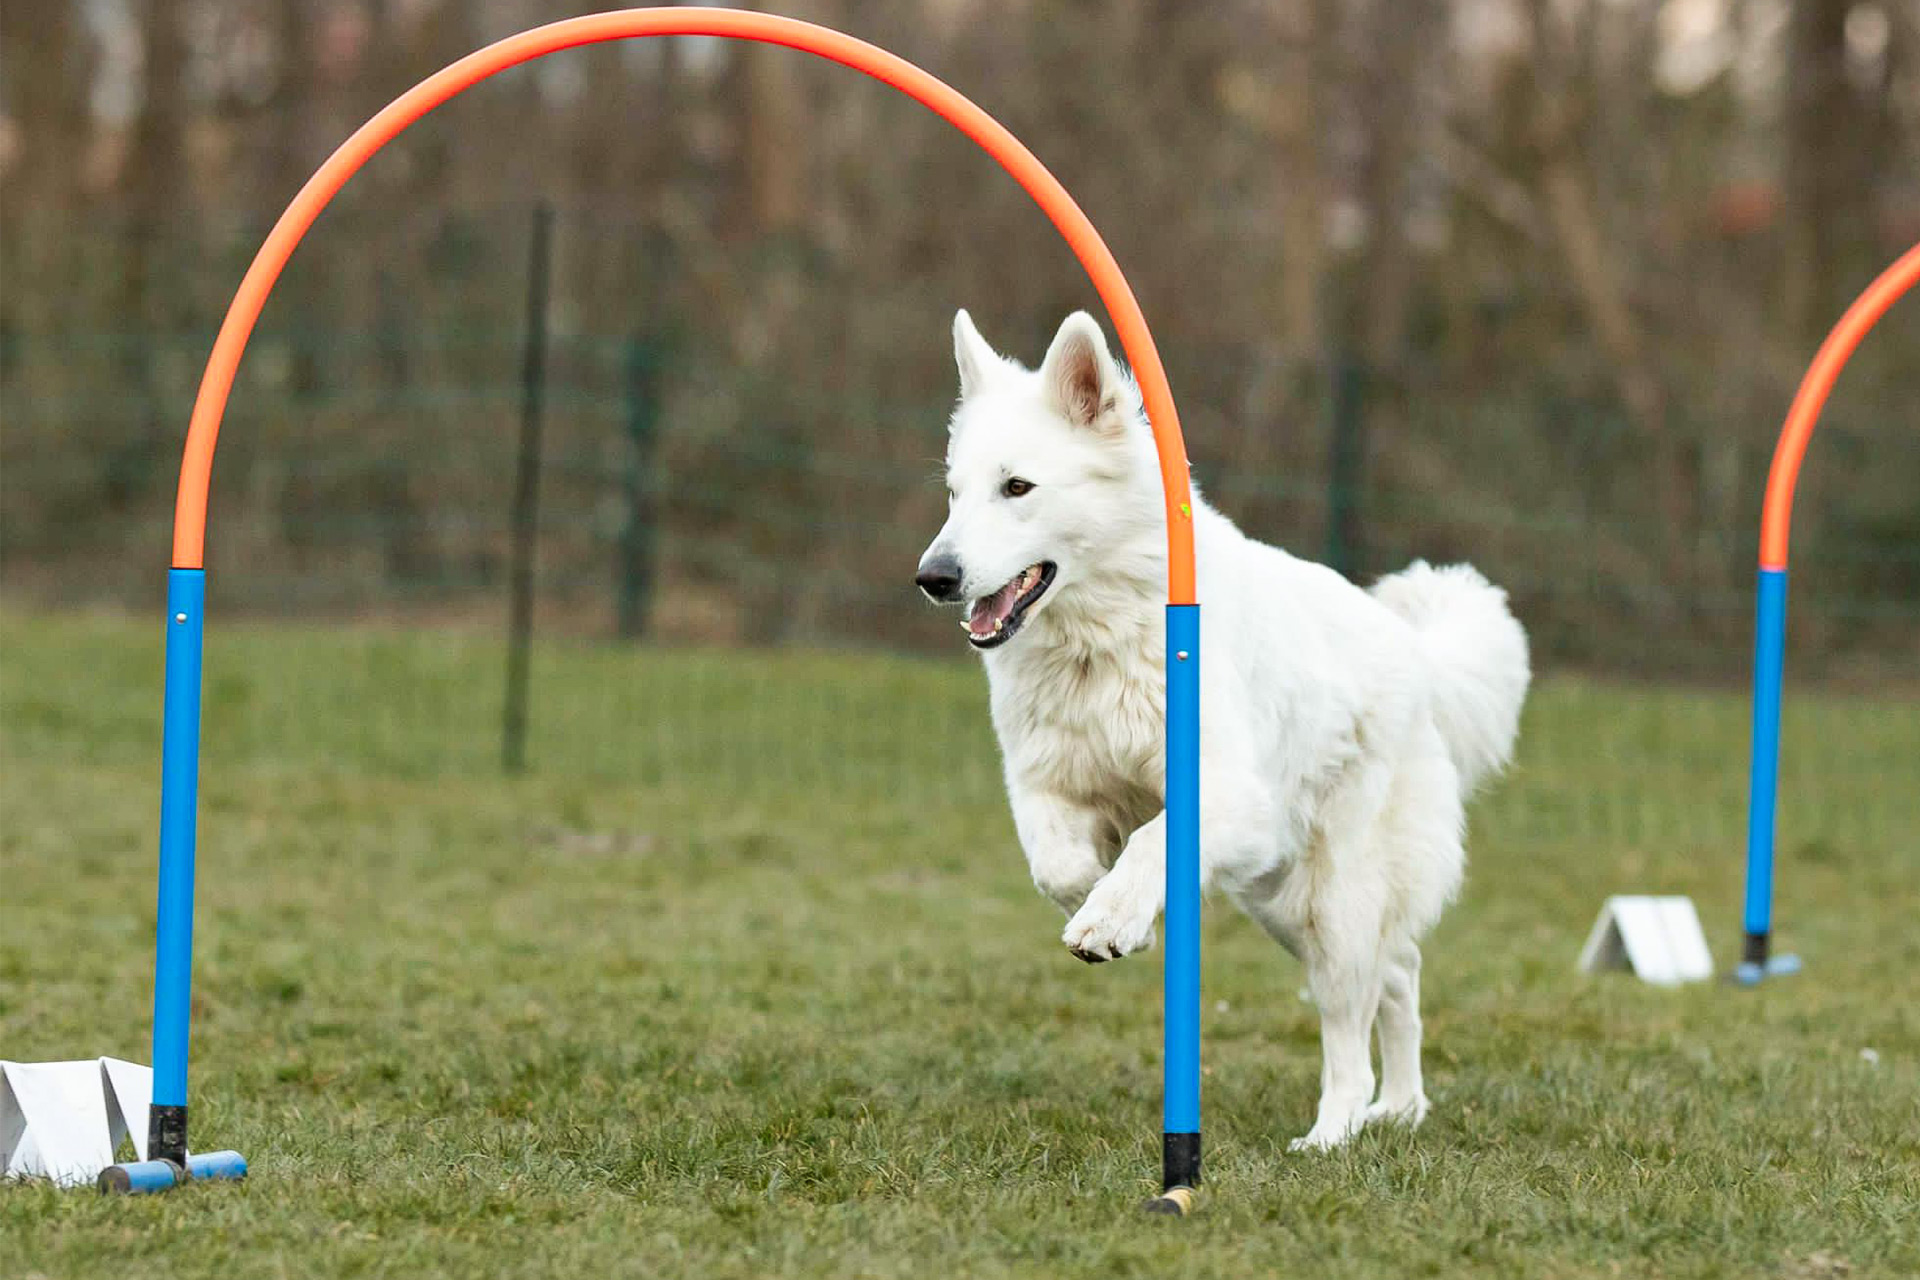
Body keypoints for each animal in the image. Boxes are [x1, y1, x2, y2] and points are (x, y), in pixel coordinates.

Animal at [913, 310, 1528, 1151]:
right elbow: (1060, 866)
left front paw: (1113, 918)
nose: (932, 578)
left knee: (1351, 1023)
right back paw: (1401, 1108)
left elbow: (1149, 842)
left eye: (1017, 487)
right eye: (954, 493)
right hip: (1280, 900)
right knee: (1397, 976)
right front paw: (1114, 913)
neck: (1101, 640)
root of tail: (1418, 655)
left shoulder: (1235, 798)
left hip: (1328, 903)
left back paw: (1333, 1134)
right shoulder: (1046, 786)